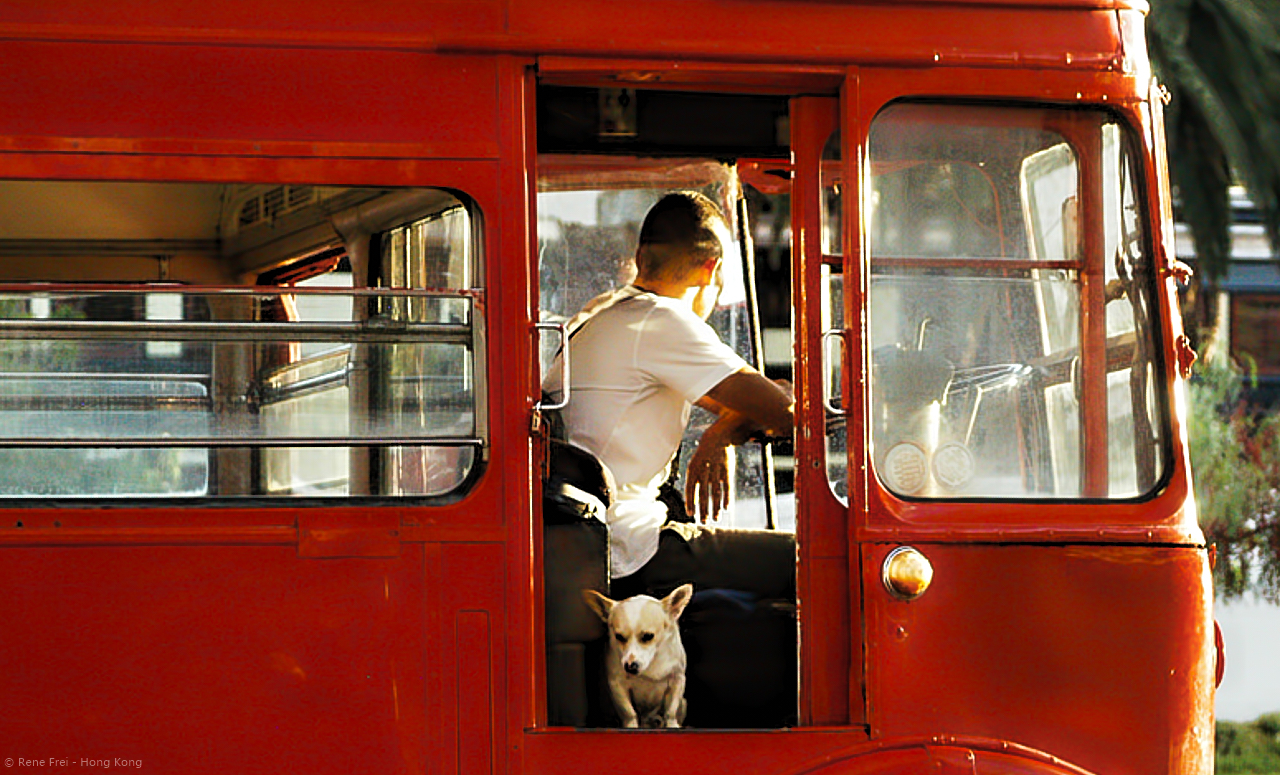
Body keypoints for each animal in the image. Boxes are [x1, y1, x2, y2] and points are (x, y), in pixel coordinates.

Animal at [586, 584, 696, 727]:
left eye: (648, 636)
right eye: (619, 637)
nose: (629, 666)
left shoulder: (677, 680)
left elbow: (671, 711)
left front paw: (672, 725)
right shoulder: (617, 685)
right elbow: (629, 712)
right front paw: (631, 726)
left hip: (683, 703)